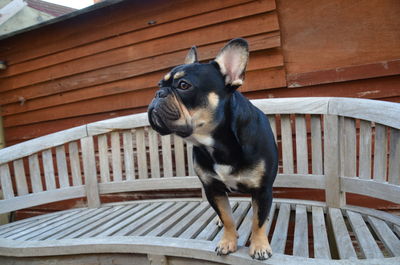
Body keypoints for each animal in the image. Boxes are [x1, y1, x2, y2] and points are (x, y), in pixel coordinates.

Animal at [147, 38, 278, 258]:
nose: (158, 93)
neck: (218, 143)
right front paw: (228, 241)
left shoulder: (262, 189)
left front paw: (260, 246)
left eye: (184, 85)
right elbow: (226, 217)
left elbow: (258, 220)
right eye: (159, 85)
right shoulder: (212, 189)